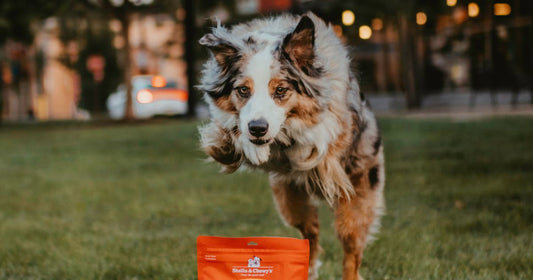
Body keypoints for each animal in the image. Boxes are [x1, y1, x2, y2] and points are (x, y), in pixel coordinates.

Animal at [197, 12, 384, 278]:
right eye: (242, 90)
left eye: (280, 90)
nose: (258, 128)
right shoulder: (223, 133)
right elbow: (229, 132)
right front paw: (252, 146)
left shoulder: (331, 130)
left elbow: (311, 137)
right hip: (290, 201)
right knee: (311, 232)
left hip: (356, 201)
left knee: (351, 253)